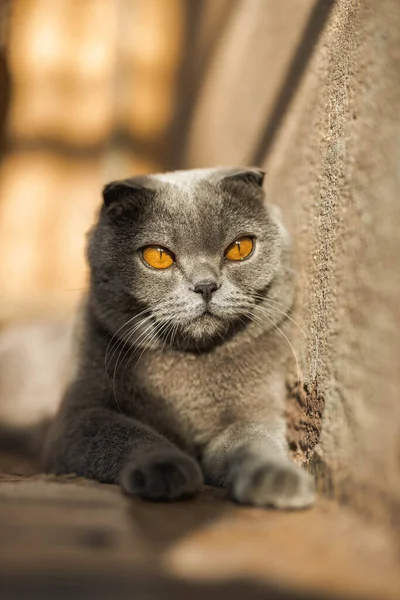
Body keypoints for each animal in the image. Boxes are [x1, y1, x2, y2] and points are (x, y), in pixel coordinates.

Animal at [42, 166, 314, 508]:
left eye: (240, 248)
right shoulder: (78, 416)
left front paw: (274, 475)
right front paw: (163, 467)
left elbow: (253, 435)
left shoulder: (261, 405)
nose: (206, 286)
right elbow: (126, 433)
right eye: (158, 256)